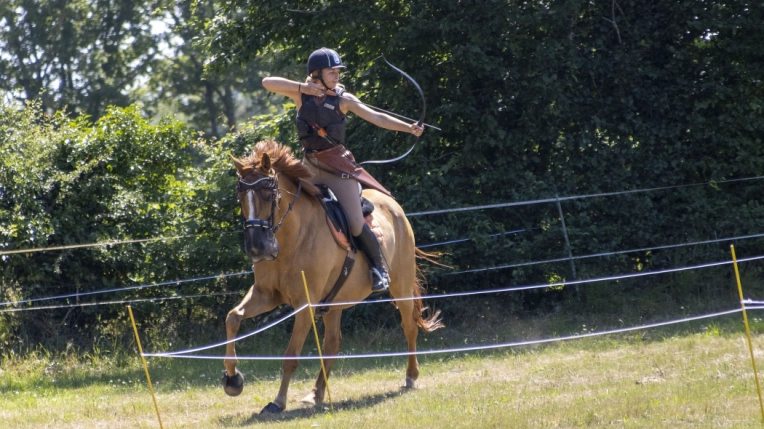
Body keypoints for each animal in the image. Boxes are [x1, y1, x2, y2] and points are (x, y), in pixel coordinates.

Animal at [222, 138, 442, 412]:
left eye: (269, 194)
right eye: (240, 196)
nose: (256, 248)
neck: (292, 238)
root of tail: (392, 205)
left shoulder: (304, 305)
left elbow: (290, 356)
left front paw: (278, 401)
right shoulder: (265, 295)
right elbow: (233, 318)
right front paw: (232, 378)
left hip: (400, 287)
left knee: (409, 326)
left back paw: (411, 377)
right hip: (334, 301)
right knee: (332, 344)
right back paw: (316, 393)